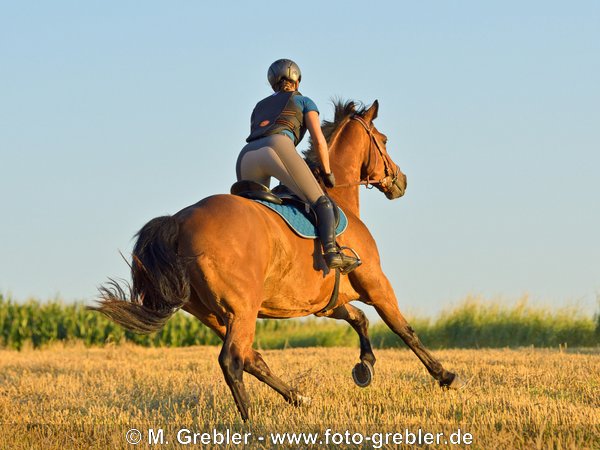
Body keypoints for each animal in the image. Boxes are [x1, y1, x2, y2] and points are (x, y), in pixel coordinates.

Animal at [91, 99, 464, 422]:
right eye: (384, 140)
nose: (401, 181)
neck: (337, 195)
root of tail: (180, 220)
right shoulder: (375, 282)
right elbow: (403, 329)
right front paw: (444, 375)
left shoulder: (327, 303)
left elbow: (359, 320)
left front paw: (364, 367)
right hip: (242, 307)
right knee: (232, 361)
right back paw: (252, 423)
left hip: (212, 314)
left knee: (252, 358)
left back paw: (298, 398)